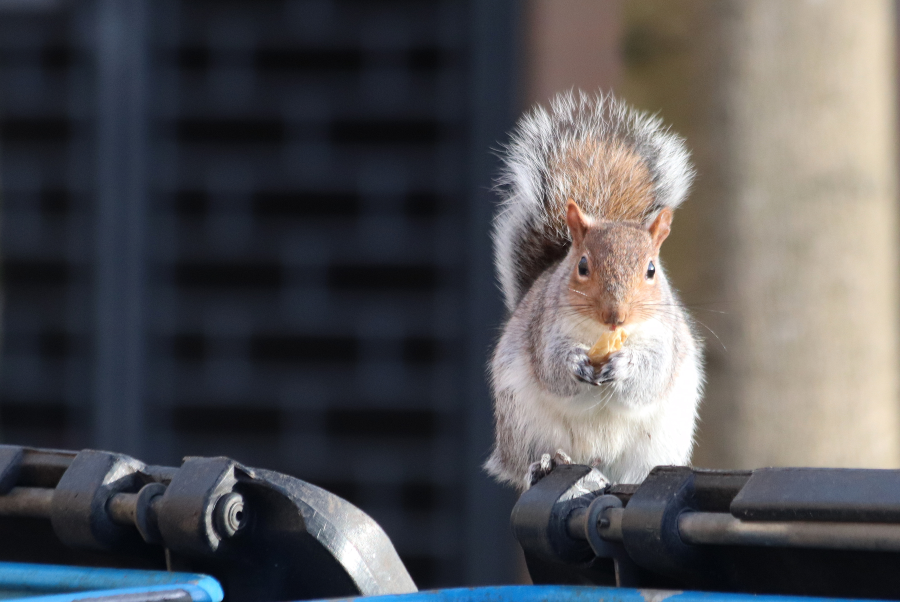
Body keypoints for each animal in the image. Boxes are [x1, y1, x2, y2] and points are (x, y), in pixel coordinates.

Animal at [486, 91, 704, 490]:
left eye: (651, 270)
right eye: (583, 266)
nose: (615, 316)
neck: (602, 334)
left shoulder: (664, 338)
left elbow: (651, 373)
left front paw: (626, 364)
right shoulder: (545, 328)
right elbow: (552, 368)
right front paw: (574, 362)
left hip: (657, 442)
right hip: (523, 425)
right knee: (530, 460)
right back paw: (546, 463)